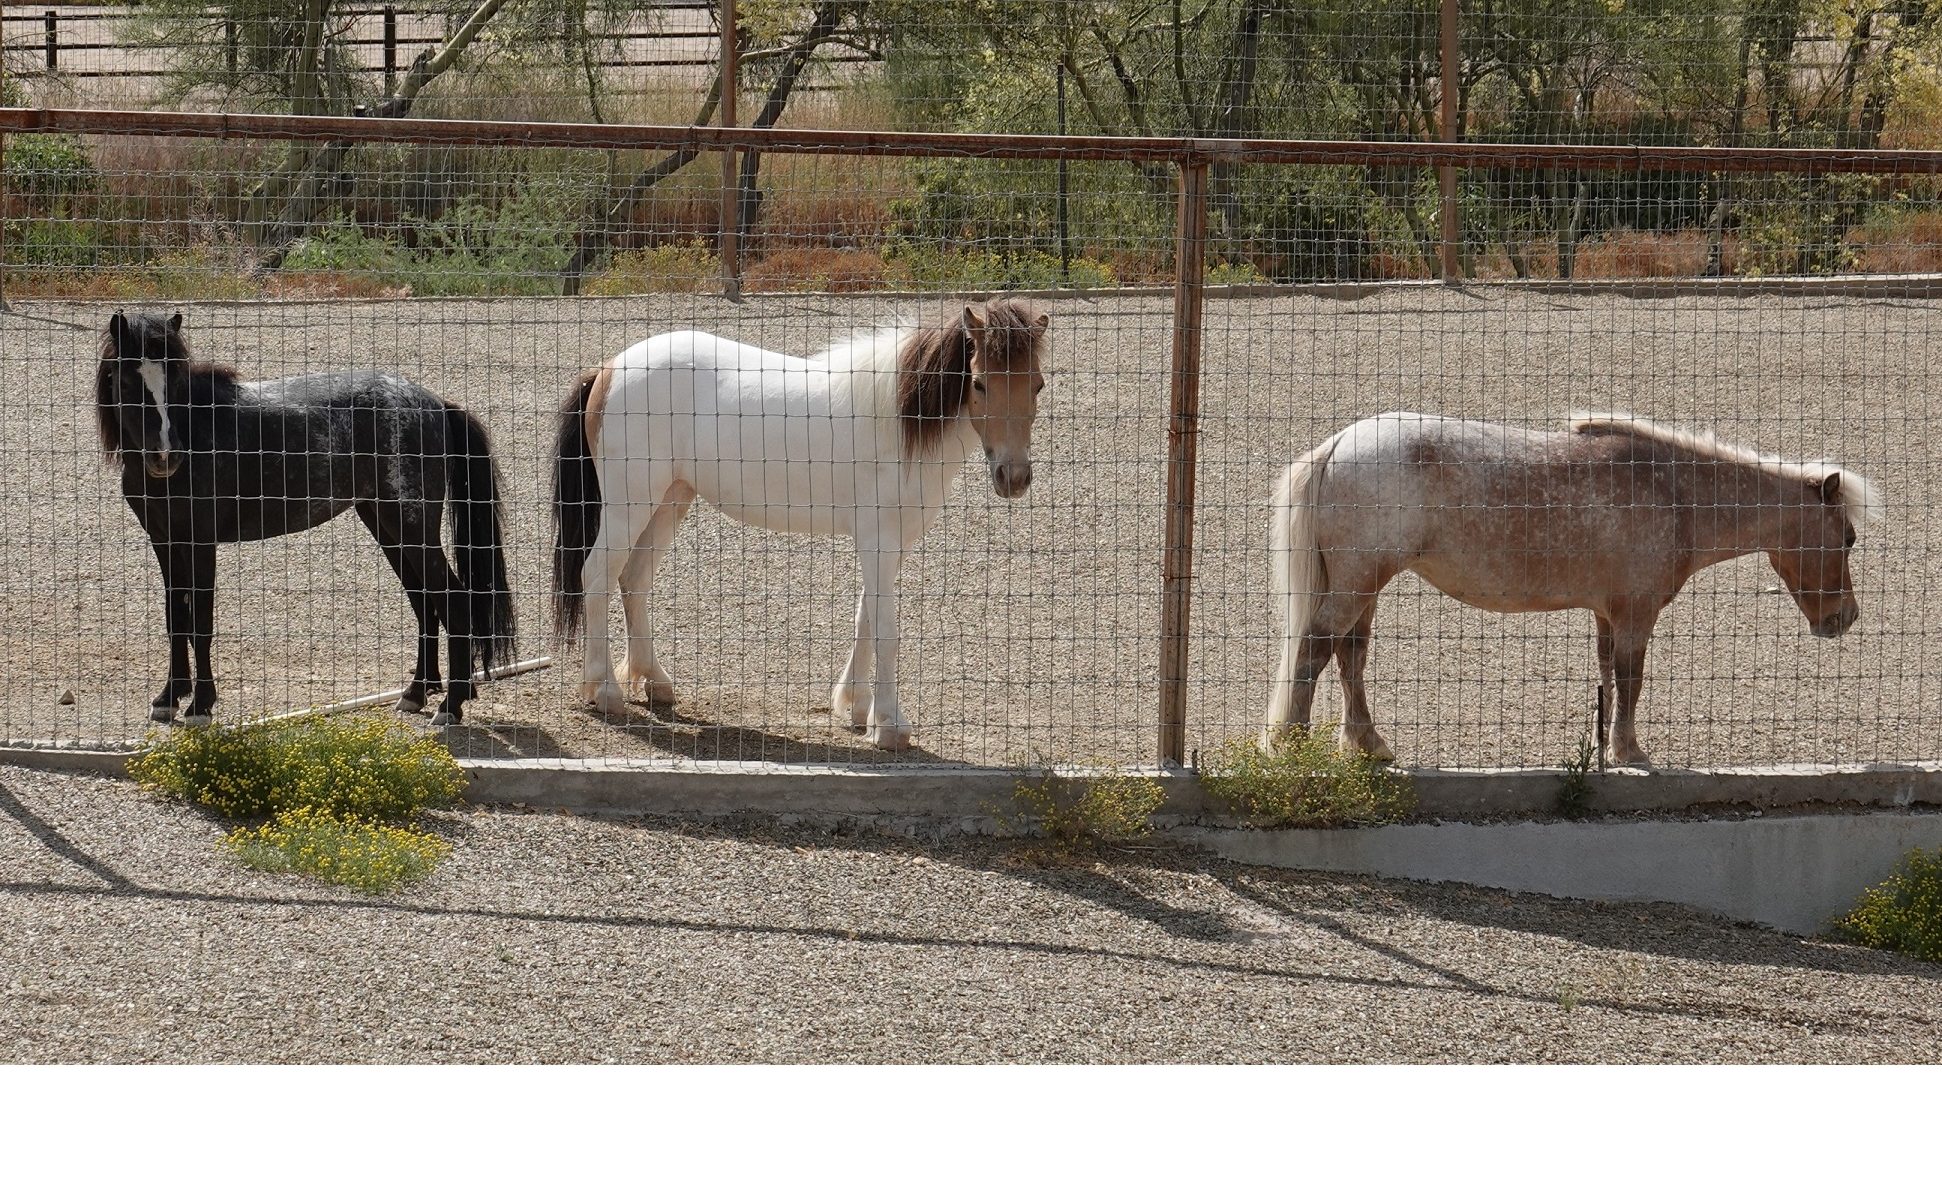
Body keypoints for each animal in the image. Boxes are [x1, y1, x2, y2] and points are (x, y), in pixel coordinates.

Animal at [98, 310, 516, 718]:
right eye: (128, 383)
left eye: (175, 381)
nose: (166, 457)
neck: (200, 430)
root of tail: (435, 404)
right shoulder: (165, 542)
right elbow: (176, 618)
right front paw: (169, 697)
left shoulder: (200, 544)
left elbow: (200, 621)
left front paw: (201, 704)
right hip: (386, 524)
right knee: (424, 602)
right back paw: (416, 693)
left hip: (412, 528)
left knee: (453, 601)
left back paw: (451, 705)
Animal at [555, 297, 1048, 745]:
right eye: (979, 383)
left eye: (1039, 385)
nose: (1014, 477)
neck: (898, 422)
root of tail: (609, 369)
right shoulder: (879, 541)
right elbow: (886, 631)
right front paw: (889, 725)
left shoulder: (889, 546)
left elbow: (864, 619)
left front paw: (856, 707)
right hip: (628, 507)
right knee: (596, 577)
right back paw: (605, 691)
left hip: (670, 502)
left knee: (634, 580)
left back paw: (655, 682)